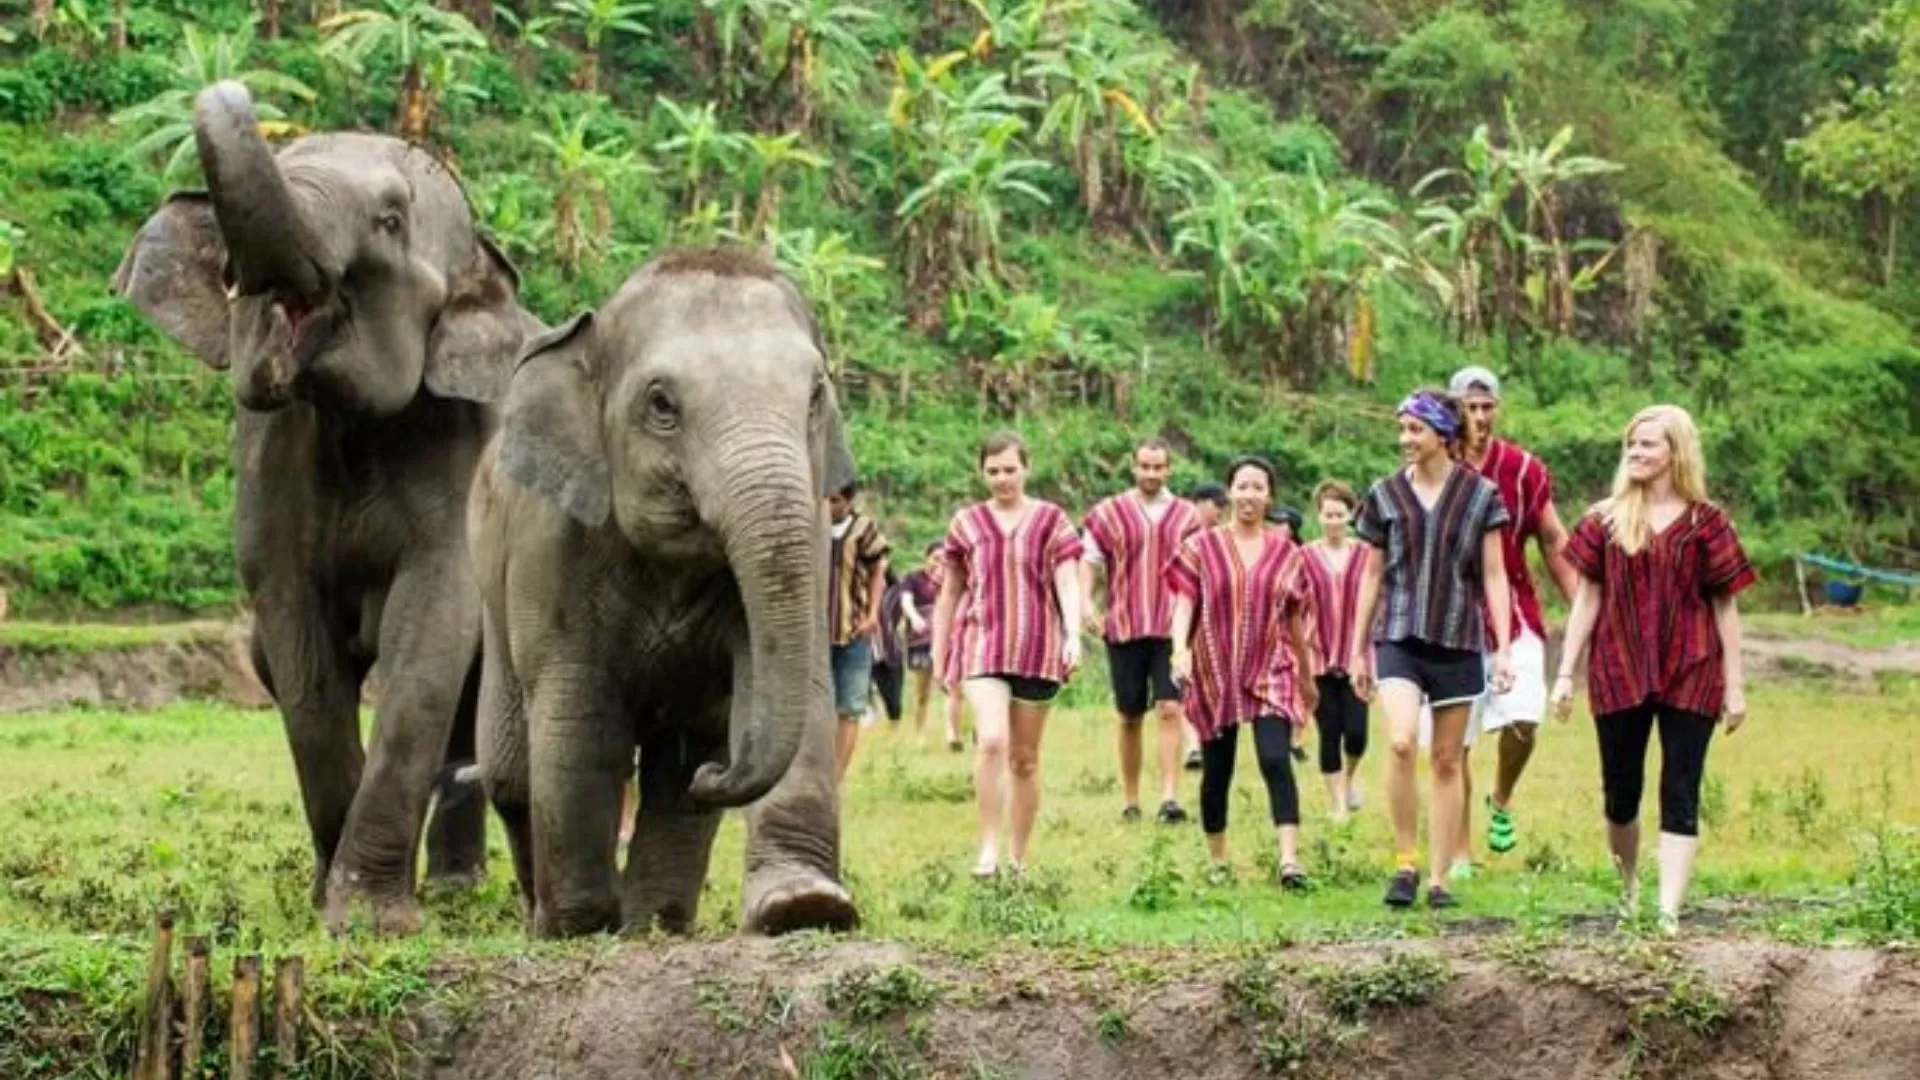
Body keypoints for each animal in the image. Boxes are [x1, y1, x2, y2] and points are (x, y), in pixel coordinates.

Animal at [111, 81, 541, 935]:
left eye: (391, 219)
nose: (235, 87)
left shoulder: (460, 450)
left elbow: (429, 632)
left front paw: (370, 921)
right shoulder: (272, 465)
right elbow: (298, 646)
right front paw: (326, 904)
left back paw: (456, 891)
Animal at [467, 245, 861, 938]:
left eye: (816, 396)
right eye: (661, 405)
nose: (718, 774)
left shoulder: (811, 531)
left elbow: (803, 687)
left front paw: (805, 907)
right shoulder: (551, 544)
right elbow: (579, 710)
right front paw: (579, 924)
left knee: (673, 764)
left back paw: (654, 925)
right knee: (510, 772)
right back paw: (549, 917)